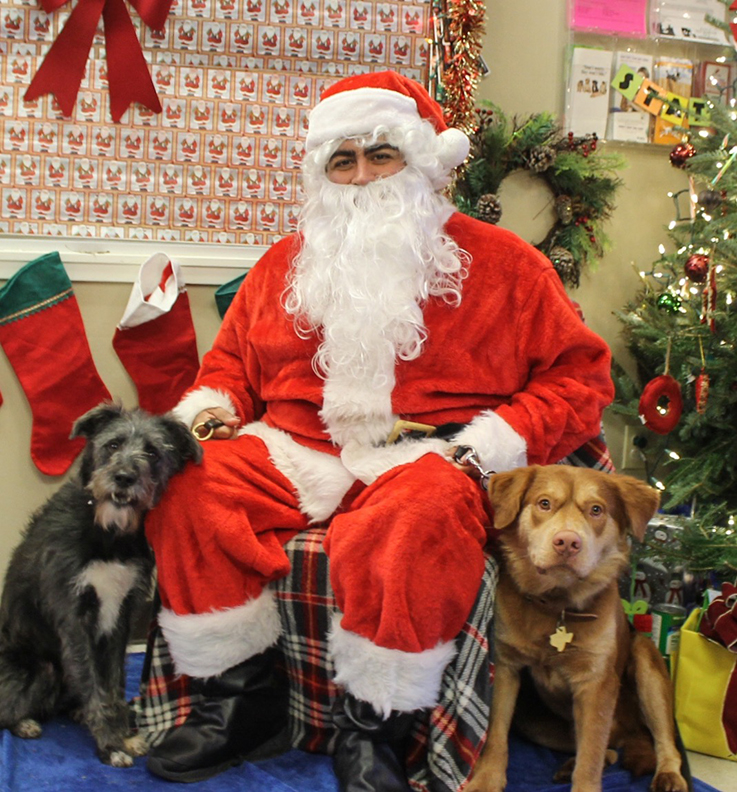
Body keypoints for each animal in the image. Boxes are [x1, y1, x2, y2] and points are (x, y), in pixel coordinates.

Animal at [0, 406, 201, 764]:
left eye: (153, 452)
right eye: (113, 444)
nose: (123, 478)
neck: (109, 535)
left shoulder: (121, 618)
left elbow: (113, 682)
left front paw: (124, 735)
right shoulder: (74, 618)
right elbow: (94, 685)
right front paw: (110, 745)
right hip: (40, 667)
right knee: (7, 708)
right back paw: (24, 723)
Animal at [466, 464, 688, 792]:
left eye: (596, 509)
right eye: (544, 503)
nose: (568, 543)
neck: (557, 604)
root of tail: (633, 732)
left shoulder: (596, 684)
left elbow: (590, 757)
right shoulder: (507, 666)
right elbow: (495, 732)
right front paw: (486, 779)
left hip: (646, 663)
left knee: (662, 740)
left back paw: (669, 774)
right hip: (534, 722)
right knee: (608, 746)